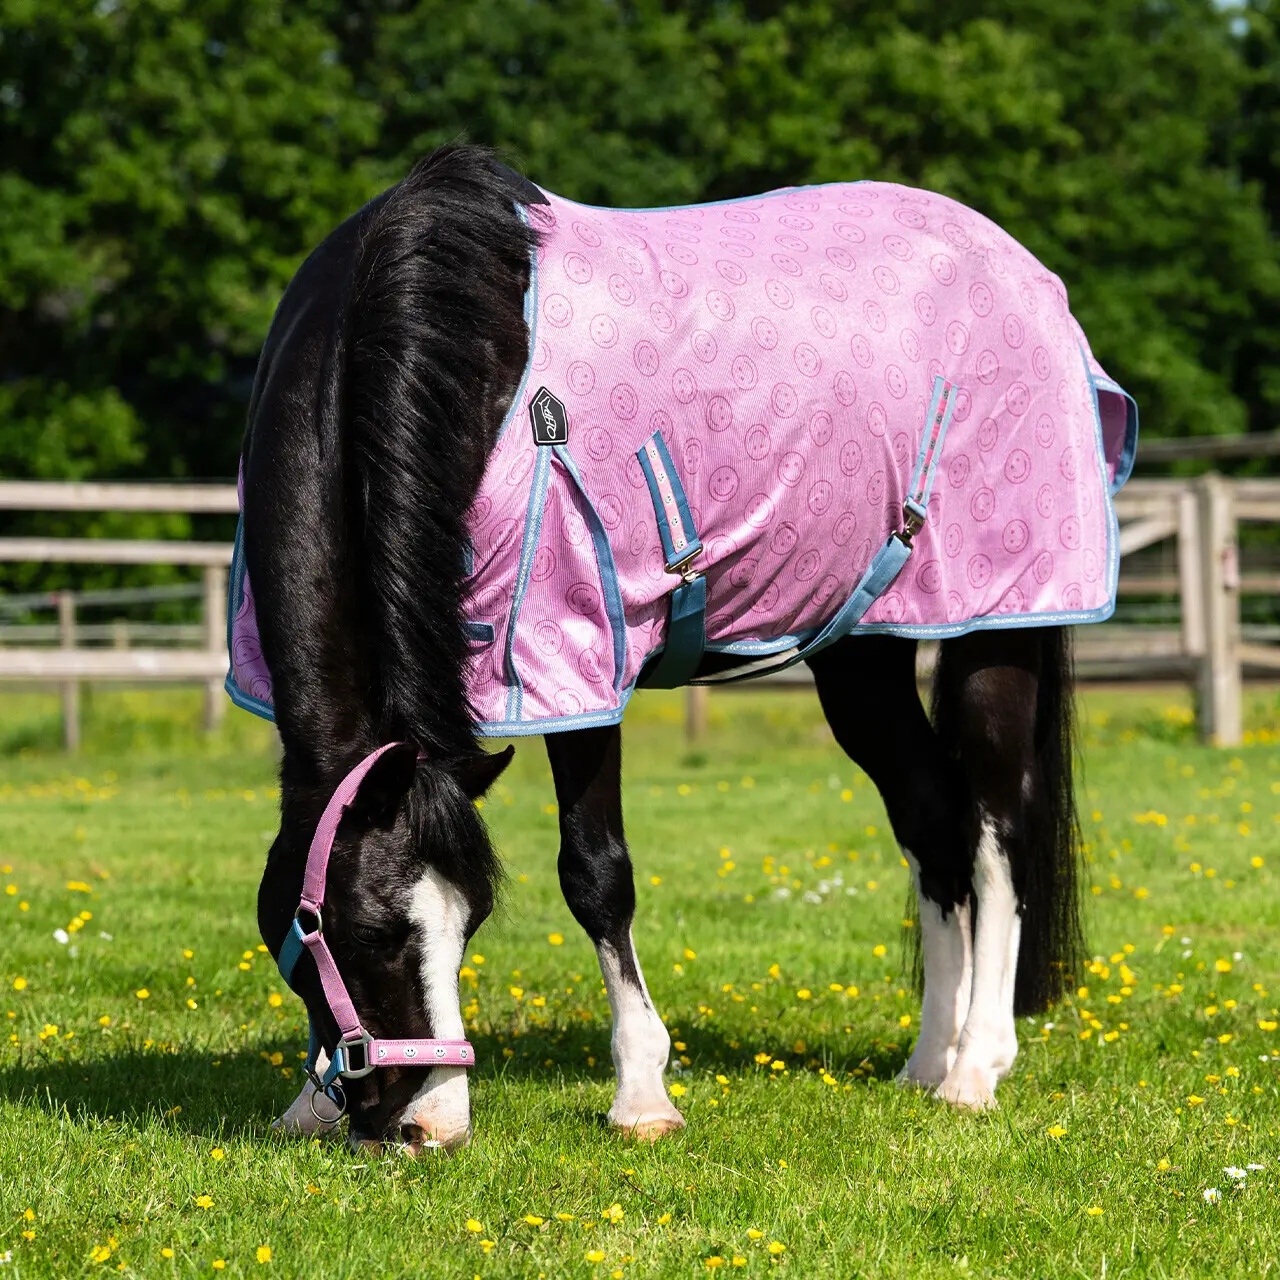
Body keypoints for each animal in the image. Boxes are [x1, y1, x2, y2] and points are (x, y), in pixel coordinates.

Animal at [230, 144, 1136, 1151]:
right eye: (374, 931)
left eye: (467, 925)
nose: (432, 1125)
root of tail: (1033, 283)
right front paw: (305, 1100)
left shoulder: (577, 654)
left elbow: (595, 874)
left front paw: (643, 1095)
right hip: (861, 654)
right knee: (932, 816)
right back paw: (925, 1060)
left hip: (993, 629)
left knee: (995, 830)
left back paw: (975, 1068)